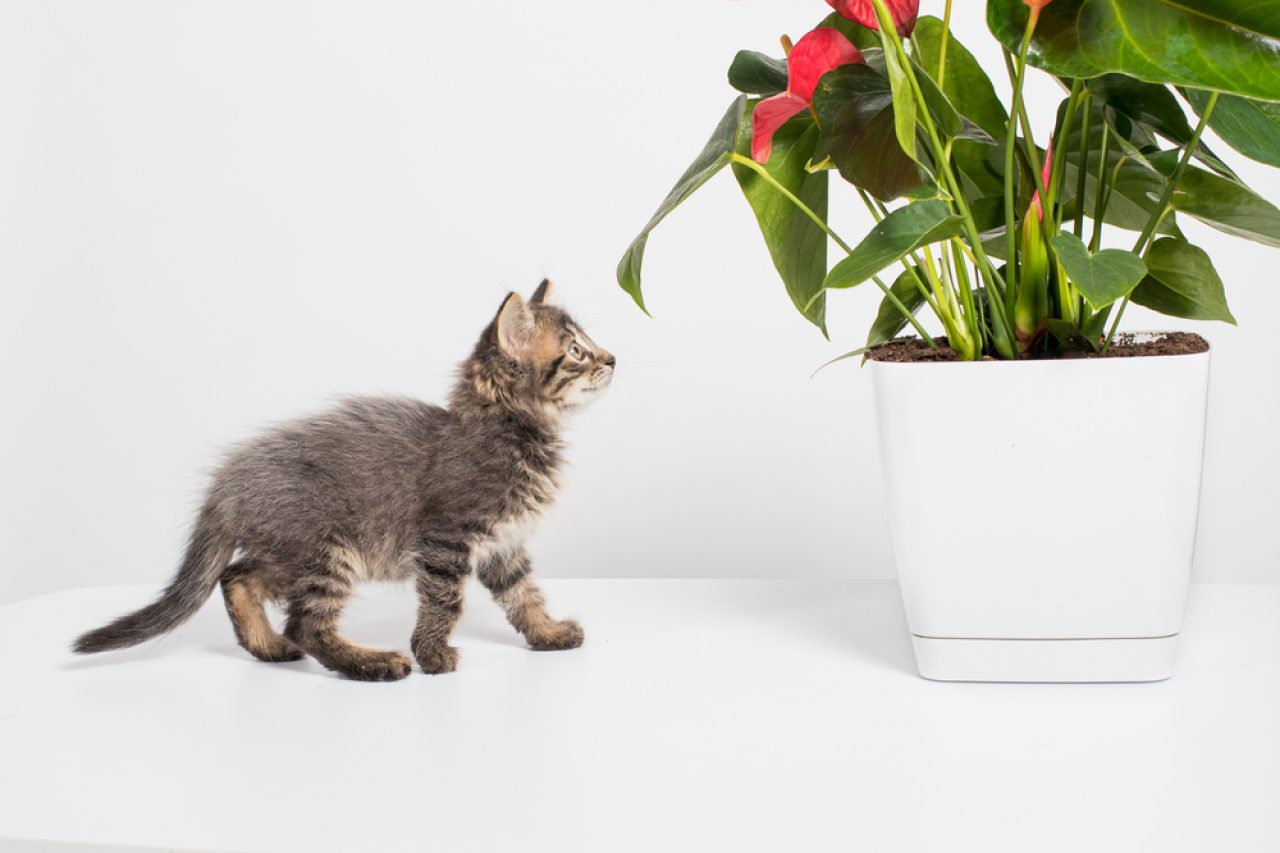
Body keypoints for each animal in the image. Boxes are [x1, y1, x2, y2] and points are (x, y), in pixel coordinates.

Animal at [73, 281, 614, 681]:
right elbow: (446, 601)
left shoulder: (505, 544)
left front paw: (548, 634)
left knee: (238, 578)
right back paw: (371, 662)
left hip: (288, 552)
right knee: (306, 624)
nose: (611, 359)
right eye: (576, 350)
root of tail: (229, 482)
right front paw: (432, 655)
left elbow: (524, 595)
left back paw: (268, 647)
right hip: (326, 549)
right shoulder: (447, 538)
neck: (510, 429)